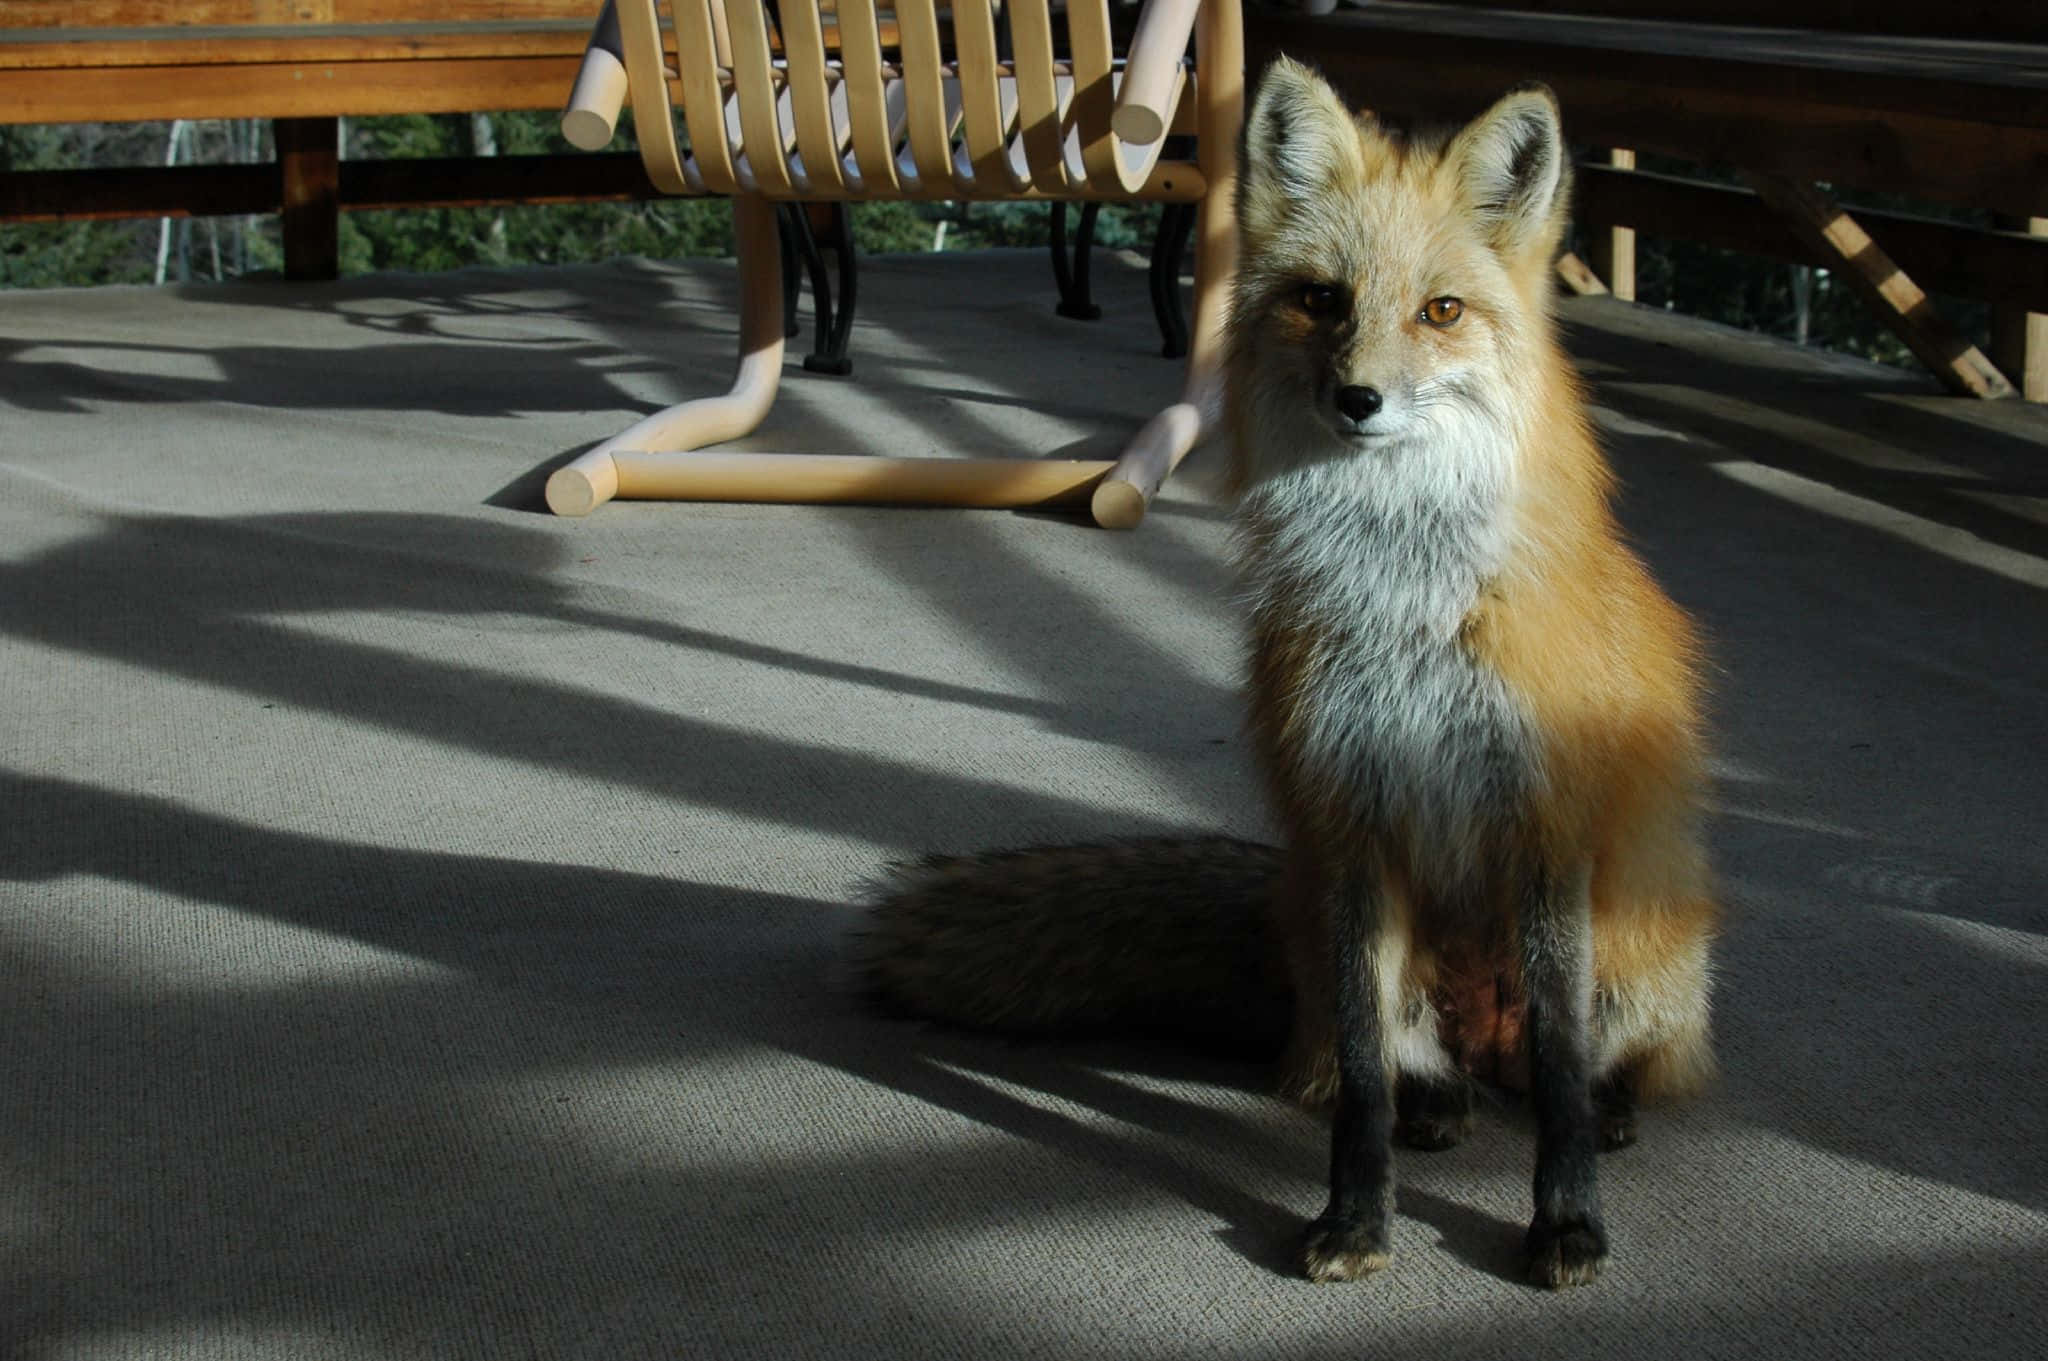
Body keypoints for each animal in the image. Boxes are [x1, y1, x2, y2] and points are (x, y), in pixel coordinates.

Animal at [860, 61, 1717, 1291]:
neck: (1404, 604)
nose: (1359, 399)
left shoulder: (1543, 827)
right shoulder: (1351, 817)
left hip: (1645, 949)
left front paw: (1565, 1222)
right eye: (1321, 299)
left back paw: (1604, 1112)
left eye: (1440, 311)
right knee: (1403, 1064)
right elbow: (1357, 1079)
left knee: (1586, 1066)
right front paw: (1355, 1216)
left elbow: (1556, 1070)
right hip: (1332, 918)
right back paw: (1439, 1107)